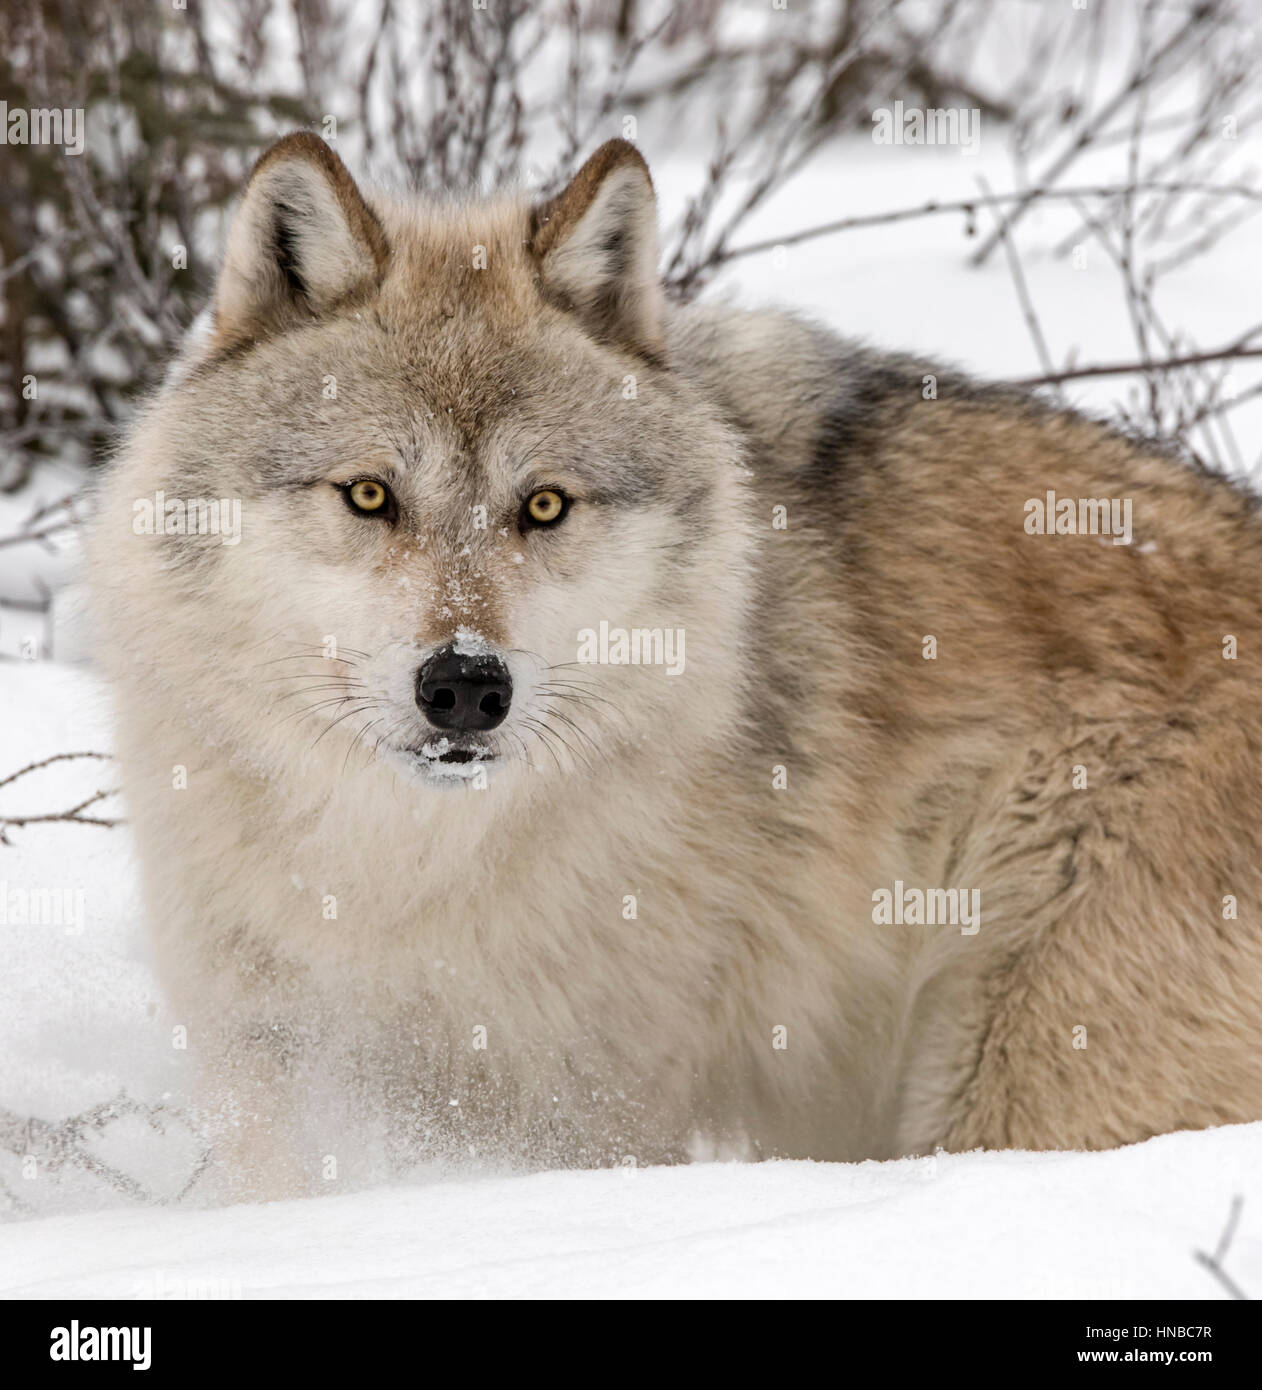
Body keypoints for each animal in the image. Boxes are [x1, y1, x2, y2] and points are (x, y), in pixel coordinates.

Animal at [85, 134, 1262, 1199]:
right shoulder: (274, 1060)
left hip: (1014, 1088)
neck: (404, 862)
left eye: (542, 505)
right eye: (370, 495)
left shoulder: (579, 1111)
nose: (466, 687)